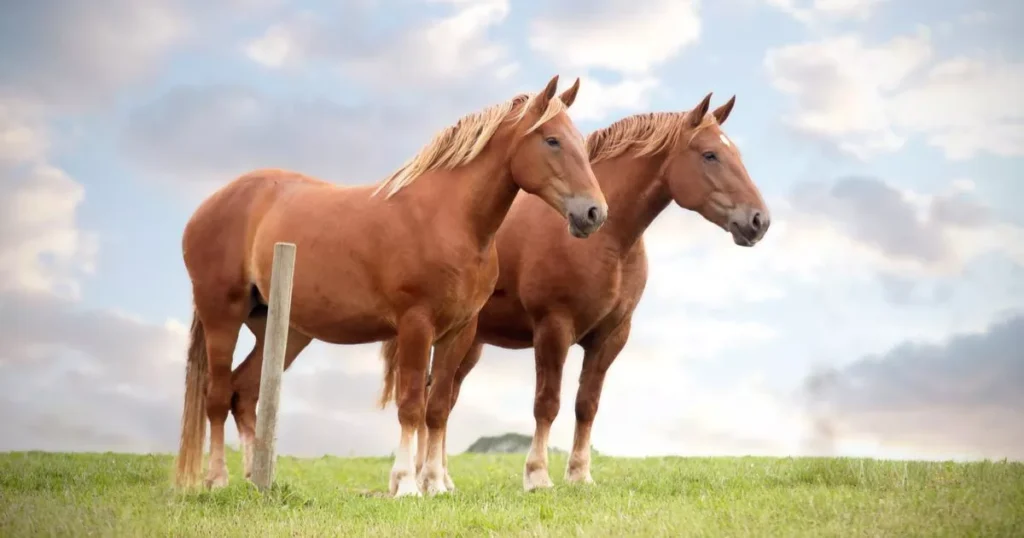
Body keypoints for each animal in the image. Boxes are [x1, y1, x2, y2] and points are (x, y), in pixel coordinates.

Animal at [175, 73, 606, 498]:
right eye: (552, 140)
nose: (594, 213)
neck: (448, 218)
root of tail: (206, 208)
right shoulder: (416, 325)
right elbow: (412, 403)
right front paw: (407, 484)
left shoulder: (459, 332)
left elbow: (437, 407)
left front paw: (436, 483)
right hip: (222, 317)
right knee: (217, 397)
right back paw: (217, 479)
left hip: (279, 329)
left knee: (244, 392)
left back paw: (253, 477)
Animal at [411, 93, 770, 489]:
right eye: (710, 155)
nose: (759, 220)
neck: (608, 241)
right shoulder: (553, 329)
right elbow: (547, 403)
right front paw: (537, 475)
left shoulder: (610, 336)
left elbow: (587, 404)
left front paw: (580, 474)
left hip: (470, 343)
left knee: (445, 397)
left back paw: (440, 479)